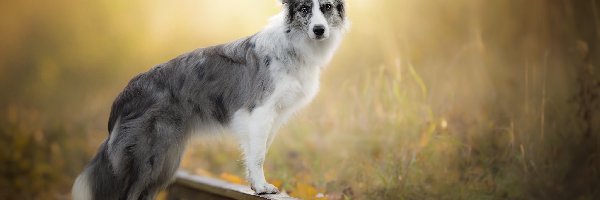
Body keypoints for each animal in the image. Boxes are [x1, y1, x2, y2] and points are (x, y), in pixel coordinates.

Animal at [73, 0, 350, 198]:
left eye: (326, 7)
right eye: (305, 9)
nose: (319, 30)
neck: (294, 45)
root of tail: (125, 94)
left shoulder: (274, 116)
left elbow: (257, 151)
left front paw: (254, 184)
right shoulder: (260, 111)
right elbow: (258, 155)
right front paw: (262, 187)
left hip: (167, 160)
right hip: (149, 158)